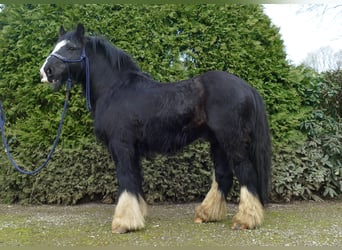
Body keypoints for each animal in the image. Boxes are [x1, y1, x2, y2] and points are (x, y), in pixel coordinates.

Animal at [40, 23, 272, 232]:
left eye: (71, 47)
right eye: (55, 45)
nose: (46, 71)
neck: (116, 89)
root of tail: (247, 87)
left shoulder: (121, 145)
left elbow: (126, 179)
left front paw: (124, 223)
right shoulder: (132, 149)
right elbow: (135, 180)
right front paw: (138, 215)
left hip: (232, 141)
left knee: (246, 173)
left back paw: (245, 220)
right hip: (218, 143)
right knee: (223, 176)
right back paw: (207, 214)